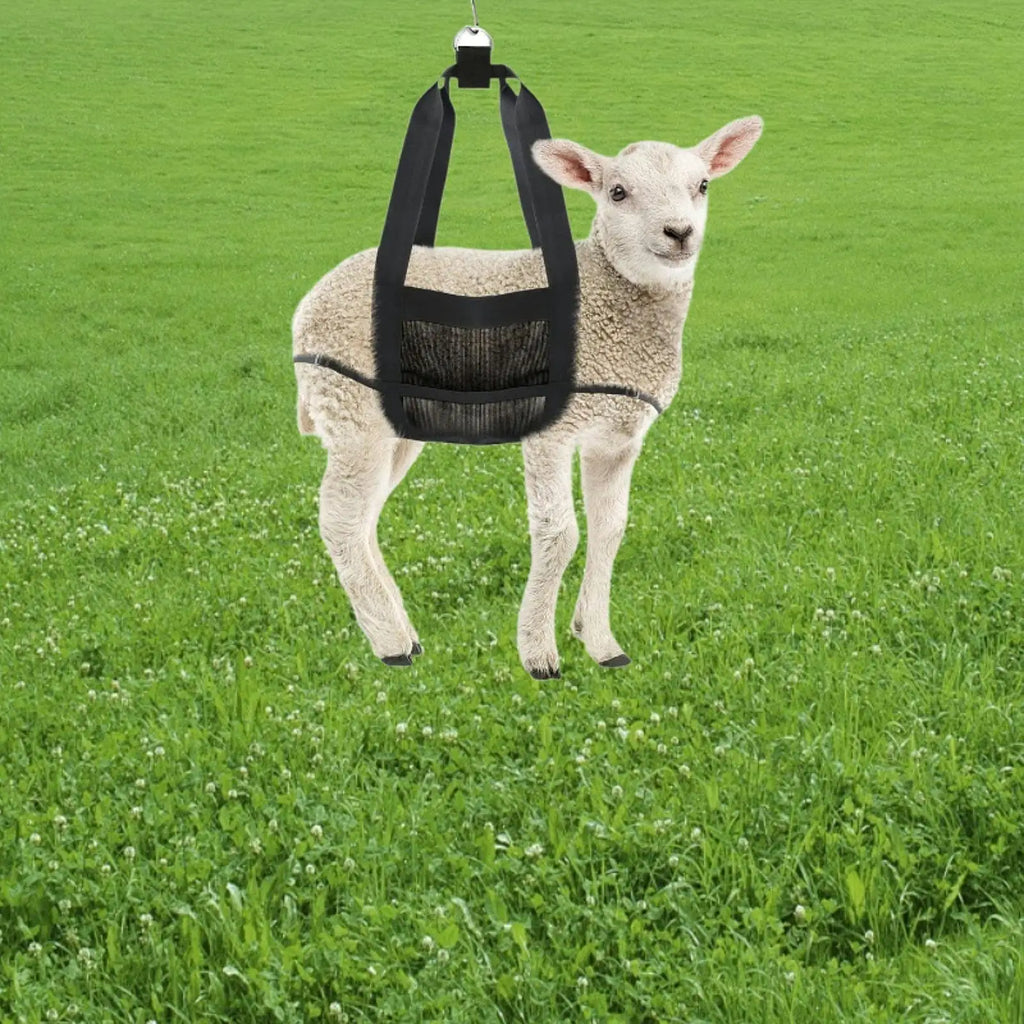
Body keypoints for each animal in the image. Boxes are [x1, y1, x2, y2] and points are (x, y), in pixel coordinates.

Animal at [292, 115, 763, 678]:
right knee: (340, 518)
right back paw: (390, 644)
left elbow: (610, 530)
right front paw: (539, 652)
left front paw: (600, 641)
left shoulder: (618, 437)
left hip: (395, 424)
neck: (613, 301)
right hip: (349, 403)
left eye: (703, 185)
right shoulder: (551, 432)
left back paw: (402, 631)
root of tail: (308, 304)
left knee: (364, 518)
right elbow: (560, 535)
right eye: (618, 192)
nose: (679, 233)